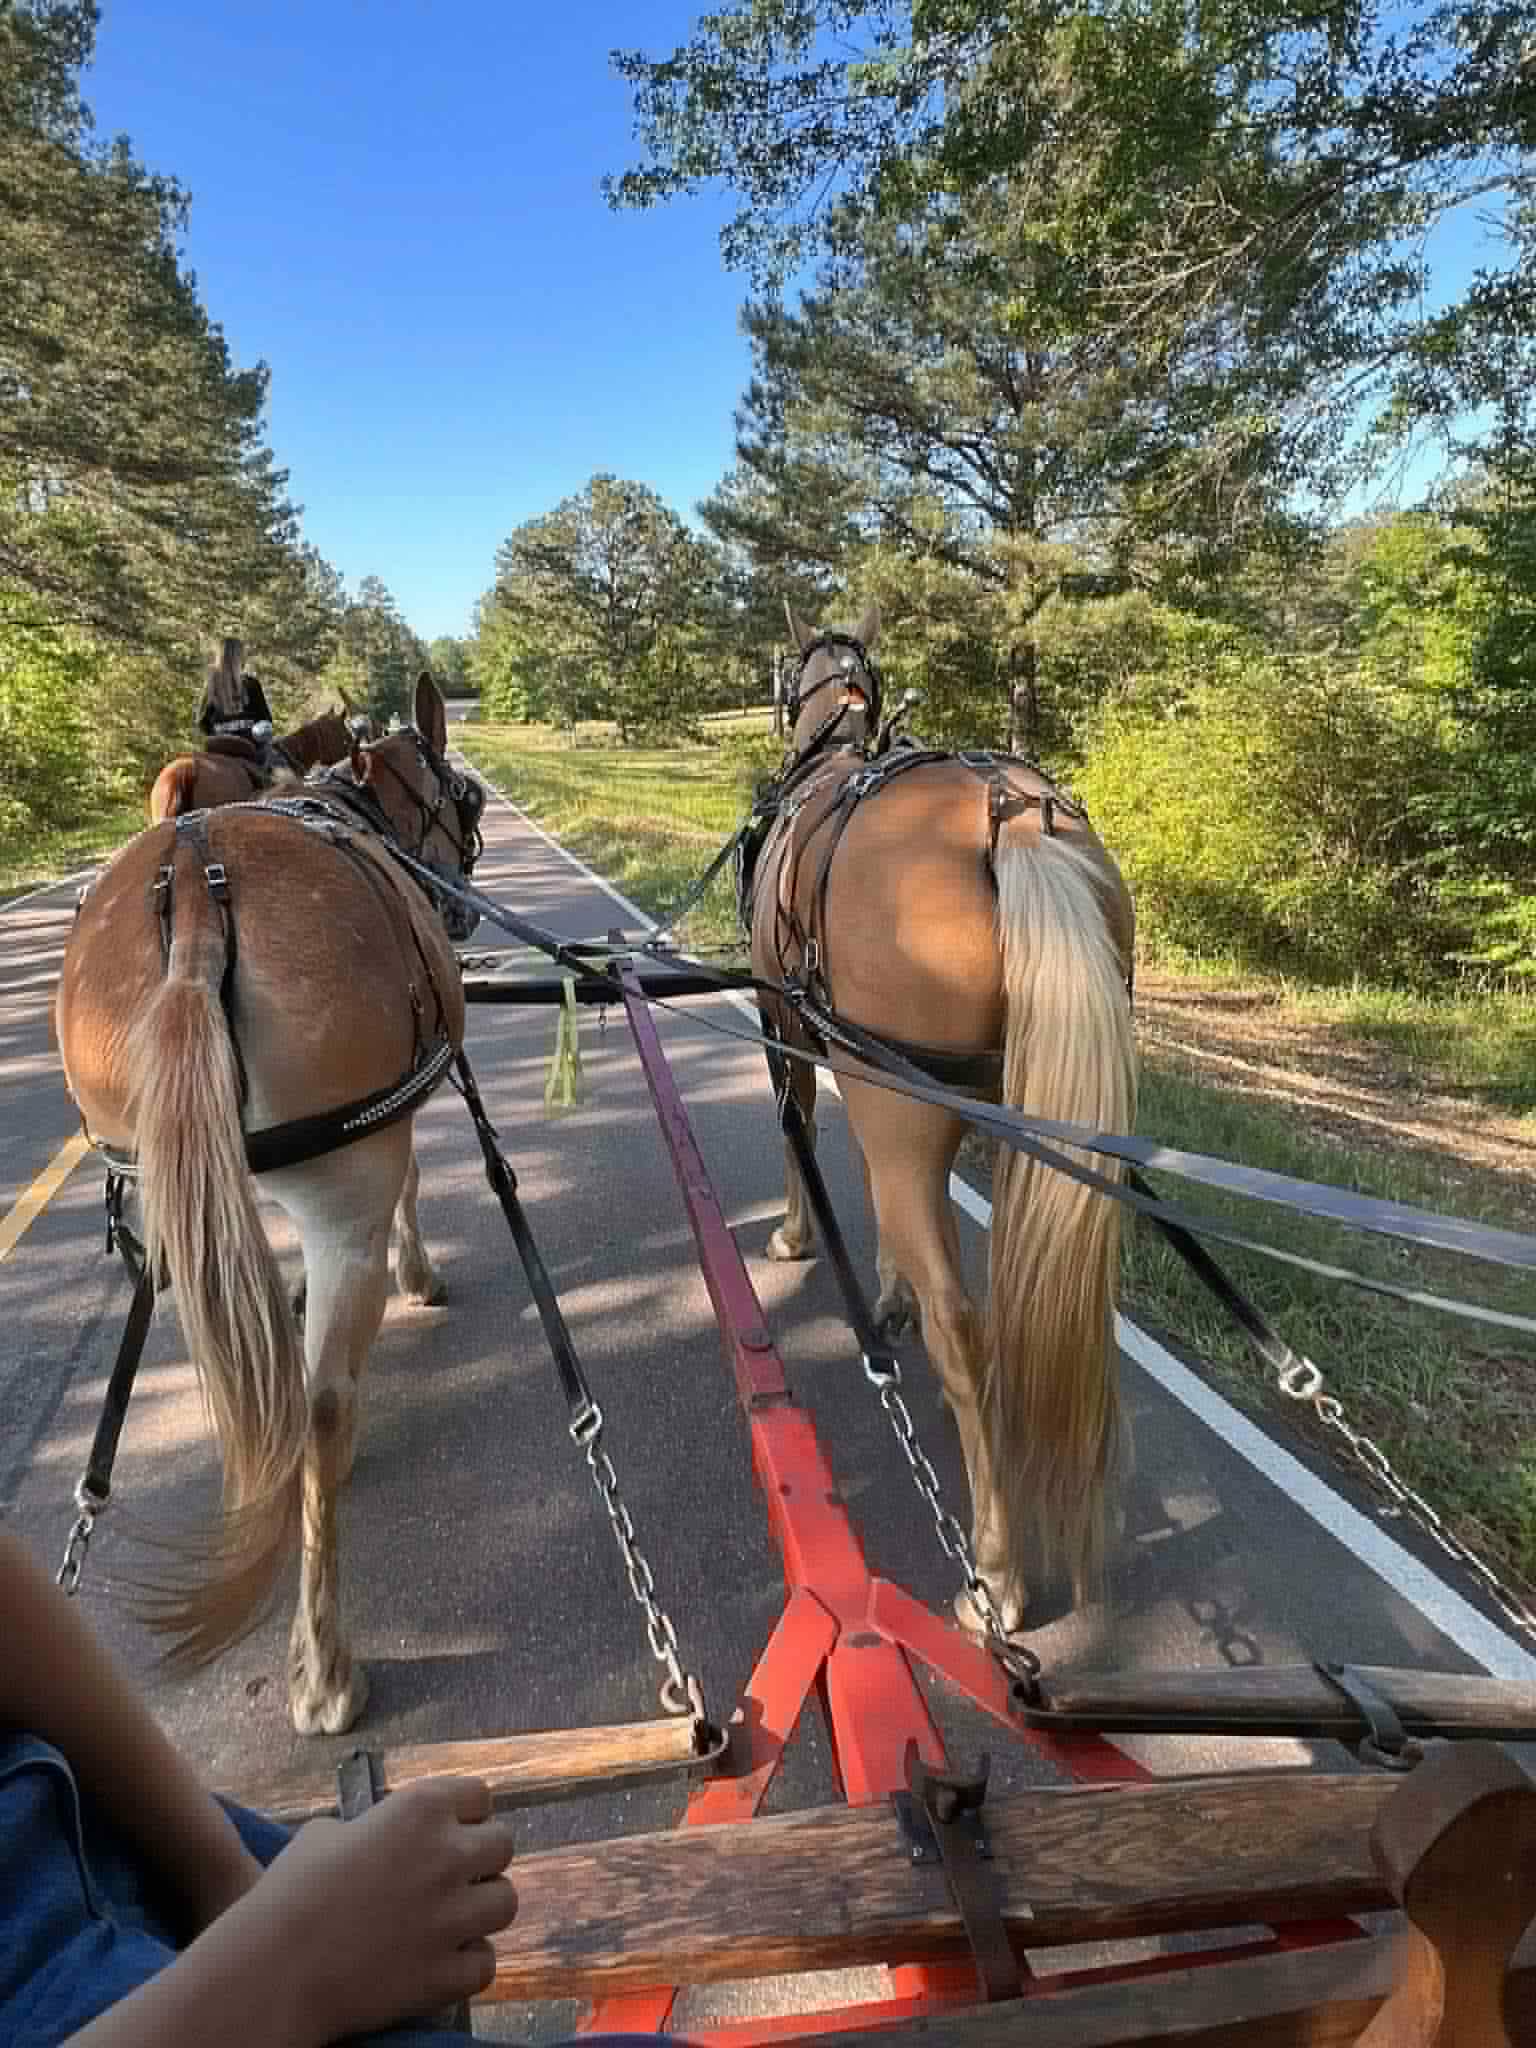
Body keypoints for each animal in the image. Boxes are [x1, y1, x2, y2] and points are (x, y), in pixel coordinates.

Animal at [746, 601, 1137, 1634]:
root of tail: (1012, 818)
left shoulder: (791, 1029)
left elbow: (799, 1130)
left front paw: (800, 1239)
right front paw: (890, 1286)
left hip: (902, 1106)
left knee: (967, 1331)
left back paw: (995, 1574)